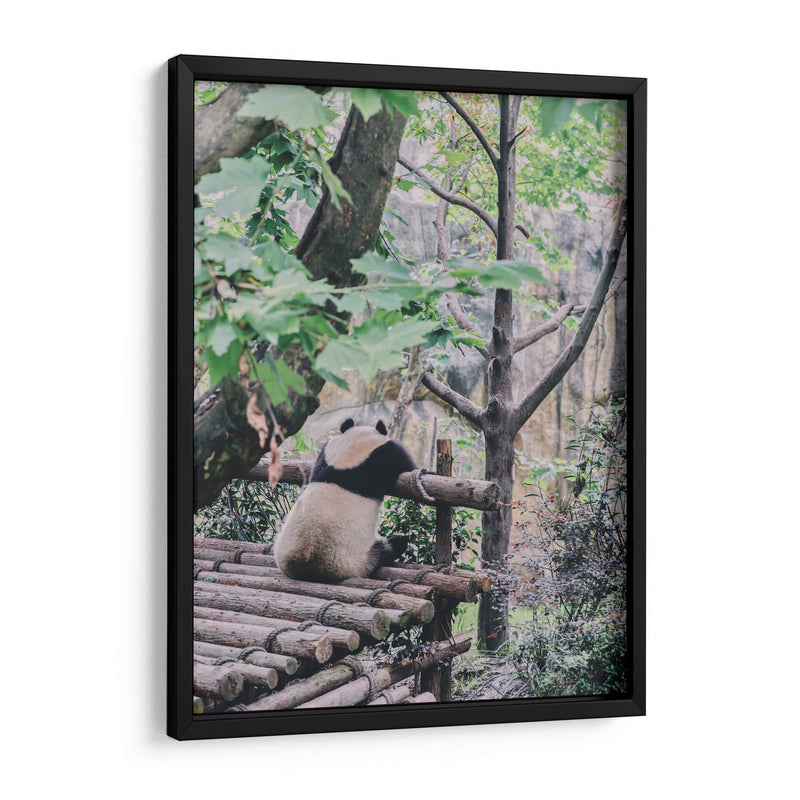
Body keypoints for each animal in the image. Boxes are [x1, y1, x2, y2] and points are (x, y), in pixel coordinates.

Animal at [273, 418, 418, 583]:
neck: (349, 455)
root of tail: (305, 566)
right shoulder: (386, 454)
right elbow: (407, 464)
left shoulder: (326, 454)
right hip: (355, 560)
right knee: (389, 548)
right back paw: (395, 545)